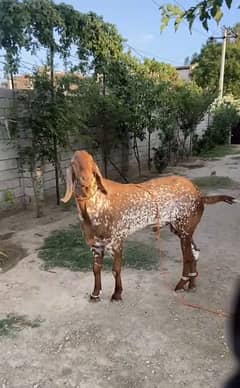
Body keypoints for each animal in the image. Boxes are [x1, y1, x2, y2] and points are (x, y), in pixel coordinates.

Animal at [61, 150, 235, 302]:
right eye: (74, 164)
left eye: (92, 164)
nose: (85, 183)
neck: (96, 204)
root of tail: (199, 194)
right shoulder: (95, 246)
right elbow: (96, 270)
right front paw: (95, 294)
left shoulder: (116, 242)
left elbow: (116, 270)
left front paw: (117, 294)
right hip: (181, 229)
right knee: (195, 252)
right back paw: (192, 285)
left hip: (185, 228)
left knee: (188, 257)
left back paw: (181, 285)